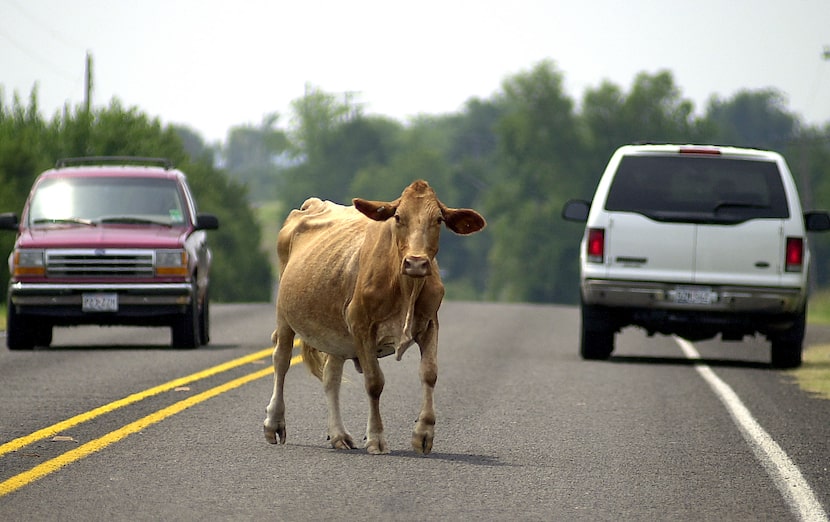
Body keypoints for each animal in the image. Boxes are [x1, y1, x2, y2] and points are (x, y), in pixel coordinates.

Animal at [264, 179, 488, 450]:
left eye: (438, 219)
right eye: (398, 217)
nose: (416, 262)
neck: (406, 289)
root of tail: (313, 203)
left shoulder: (430, 324)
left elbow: (429, 373)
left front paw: (423, 433)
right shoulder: (361, 326)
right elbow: (374, 382)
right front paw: (376, 437)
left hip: (334, 333)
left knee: (331, 376)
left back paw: (339, 435)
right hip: (284, 314)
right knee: (281, 359)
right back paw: (274, 423)